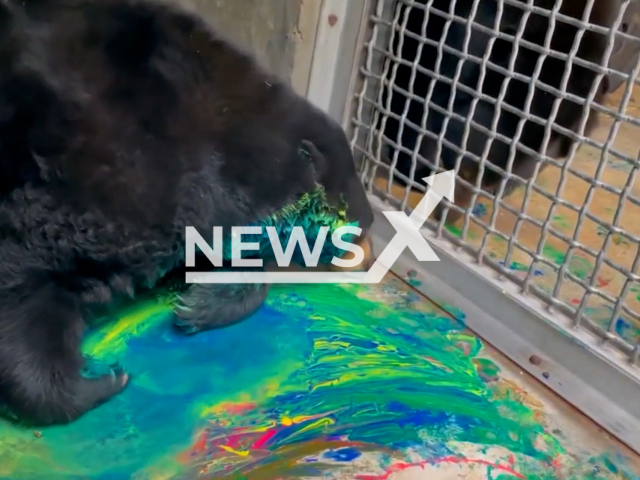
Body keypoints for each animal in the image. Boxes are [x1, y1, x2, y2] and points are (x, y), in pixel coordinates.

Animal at [0, 0, 372, 426]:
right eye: (348, 214)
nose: (368, 242)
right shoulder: (97, 187)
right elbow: (26, 283)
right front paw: (102, 379)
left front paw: (199, 303)